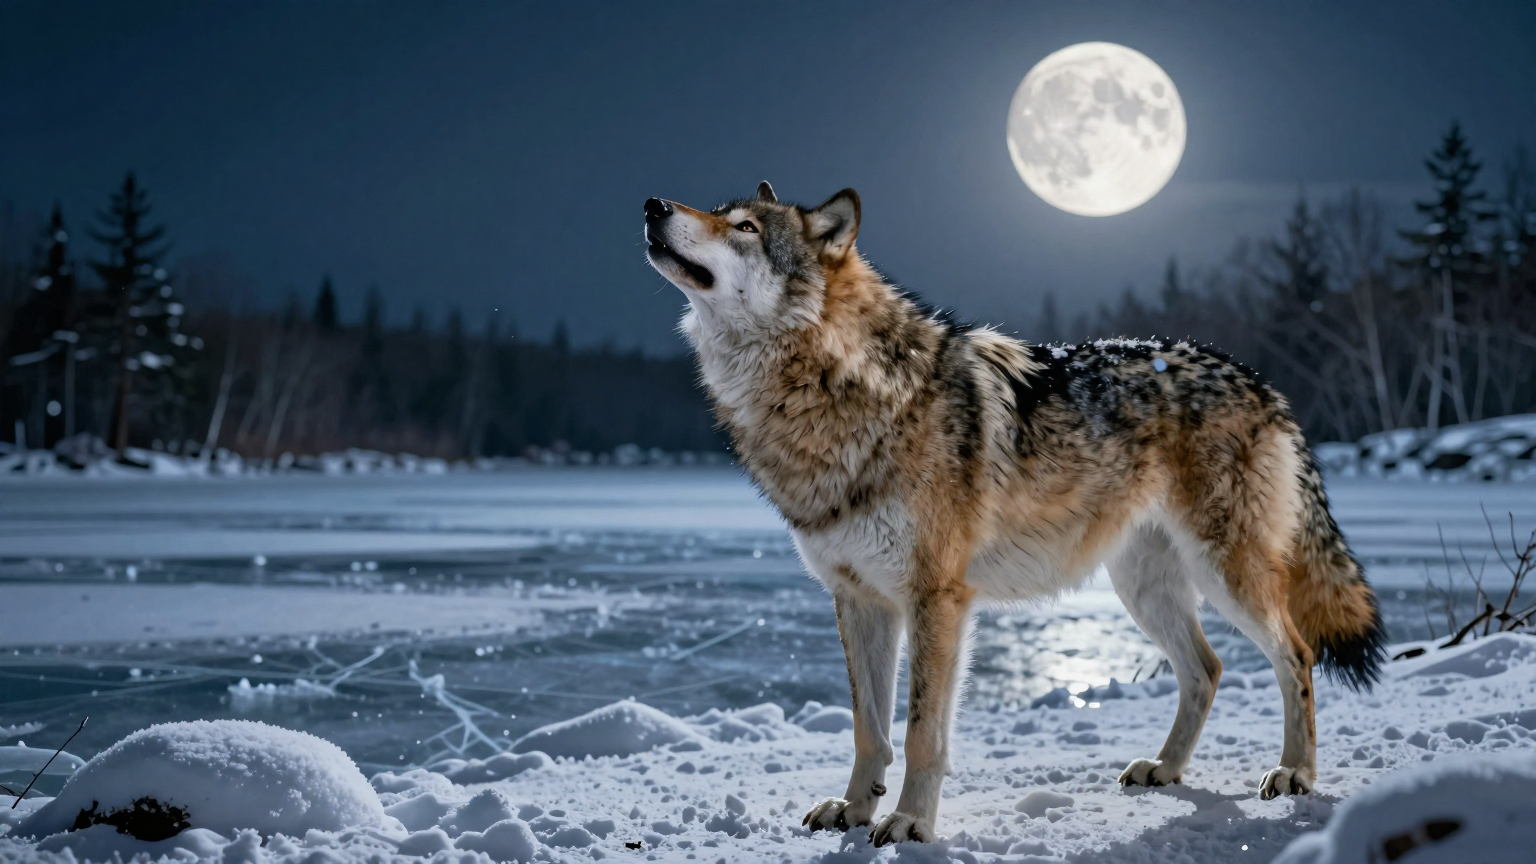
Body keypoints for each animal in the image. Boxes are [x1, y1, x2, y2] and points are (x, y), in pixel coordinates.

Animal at [643, 183, 1386, 845]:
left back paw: (1294, 774)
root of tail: (1261, 381)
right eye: (719, 211)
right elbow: (868, 731)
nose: (652, 206)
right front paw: (854, 811)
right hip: (1142, 588)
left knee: (1295, 654)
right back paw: (1166, 768)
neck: (836, 390)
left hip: (1225, 575)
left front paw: (910, 824)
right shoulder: (859, 600)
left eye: (743, 227)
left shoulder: (935, 598)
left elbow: (921, 734)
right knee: (1207, 668)